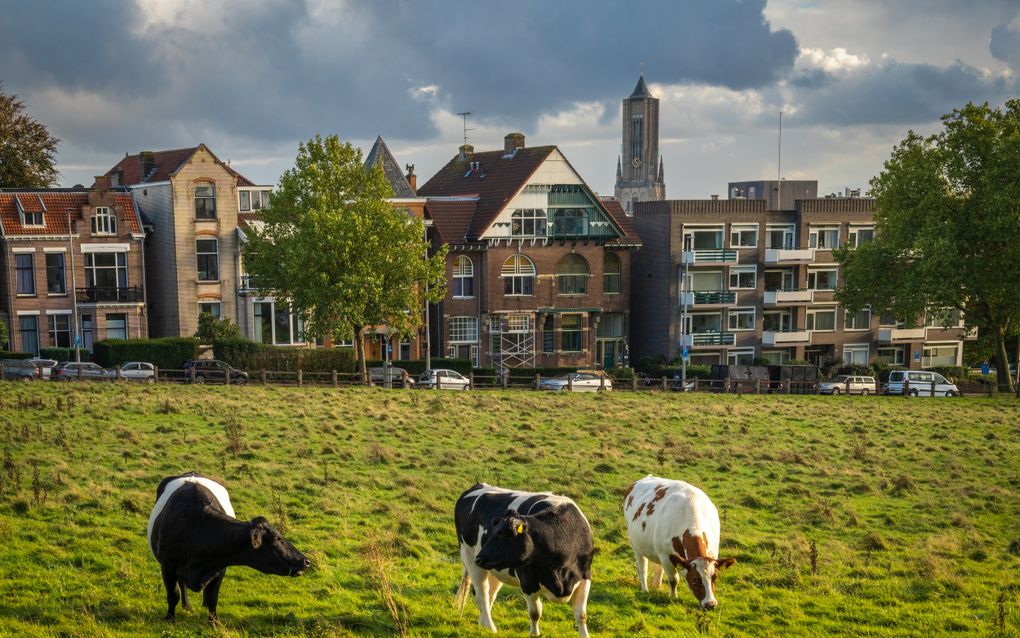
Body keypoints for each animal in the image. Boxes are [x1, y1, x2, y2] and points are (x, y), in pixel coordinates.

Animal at [145, 469, 308, 620]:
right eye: (277, 538)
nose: (305, 560)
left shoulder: (219, 569)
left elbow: (212, 598)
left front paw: (214, 623)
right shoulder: (167, 567)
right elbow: (173, 595)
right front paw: (170, 618)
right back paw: (187, 606)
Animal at [456, 481, 595, 636]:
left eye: (502, 533)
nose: (479, 558)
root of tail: (478, 485)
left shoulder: (585, 576)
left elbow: (581, 615)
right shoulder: (528, 581)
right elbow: (535, 613)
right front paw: (535, 634)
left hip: (495, 568)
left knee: (491, 593)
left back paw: (483, 625)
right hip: (468, 555)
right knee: (482, 594)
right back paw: (490, 628)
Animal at [620, 477, 734, 608]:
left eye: (715, 577)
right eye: (695, 579)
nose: (710, 604)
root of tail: (646, 477)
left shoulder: (713, 554)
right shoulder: (666, 556)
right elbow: (674, 580)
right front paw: (673, 597)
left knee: (658, 567)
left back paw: (656, 586)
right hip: (636, 544)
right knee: (642, 567)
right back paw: (645, 589)